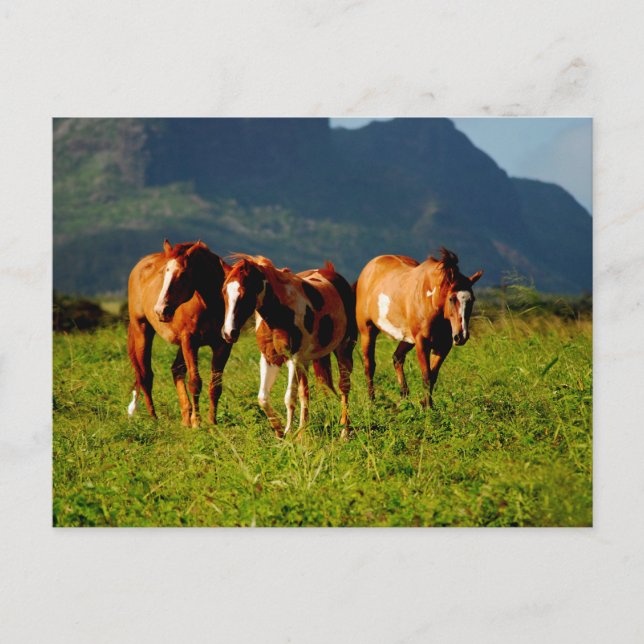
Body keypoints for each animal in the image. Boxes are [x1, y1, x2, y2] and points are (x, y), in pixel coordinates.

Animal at [126, 239, 233, 427]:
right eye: (163, 272)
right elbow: (195, 383)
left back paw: (185, 419)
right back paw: (154, 419)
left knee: (176, 370)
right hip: (142, 330)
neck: (210, 305)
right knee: (146, 376)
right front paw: (197, 423)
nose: (161, 310)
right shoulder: (190, 341)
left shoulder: (222, 346)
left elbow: (215, 386)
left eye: (183, 275)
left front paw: (212, 422)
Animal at [220, 255, 357, 439]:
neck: (279, 312)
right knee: (305, 393)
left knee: (344, 386)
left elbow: (289, 398)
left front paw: (288, 432)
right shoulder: (269, 358)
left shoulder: (293, 359)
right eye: (223, 292)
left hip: (343, 349)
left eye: (244, 293)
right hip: (306, 361)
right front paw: (281, 433)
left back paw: (344, 431)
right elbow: (263, 398)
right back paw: (303, 432)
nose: (229, 333)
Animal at [355, 247, 483, 408]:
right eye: (451, 298)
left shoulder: (443, 345)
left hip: (408, 338)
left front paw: (426, 403)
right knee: (369, 366)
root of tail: (369, 268)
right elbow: (426, 376)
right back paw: (372, 401)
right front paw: (427, 407)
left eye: (472, 300)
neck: (431, 300)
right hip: (367, 332)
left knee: (397, 358)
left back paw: (404, 397)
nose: (461, 336)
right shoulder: (422, 343)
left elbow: (433, 375)